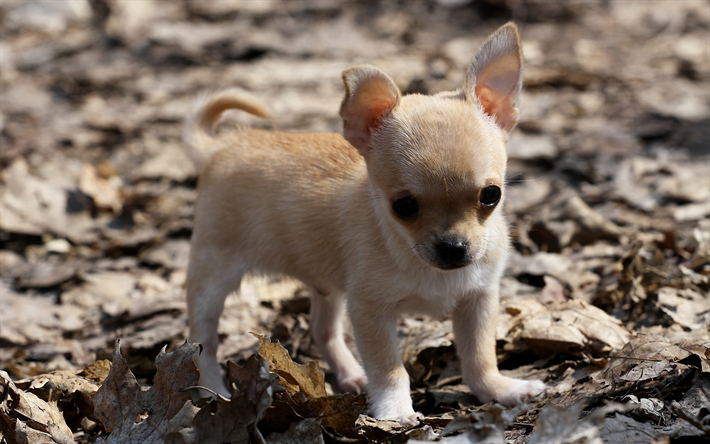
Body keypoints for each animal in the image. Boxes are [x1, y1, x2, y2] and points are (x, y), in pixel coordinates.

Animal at [184, 22, 544, 424]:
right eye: (404, 206)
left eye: (491, 196)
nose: (453, 248)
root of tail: (220, 148)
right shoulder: (371, 313)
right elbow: (390, 368)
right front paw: (394, 410)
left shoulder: (478, 299)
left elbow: (479, 356)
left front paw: (499, 390)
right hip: (213, 276)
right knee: (203, 341)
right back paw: (213, 391)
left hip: (328, 286)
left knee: (322, 329)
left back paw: (350, 374)